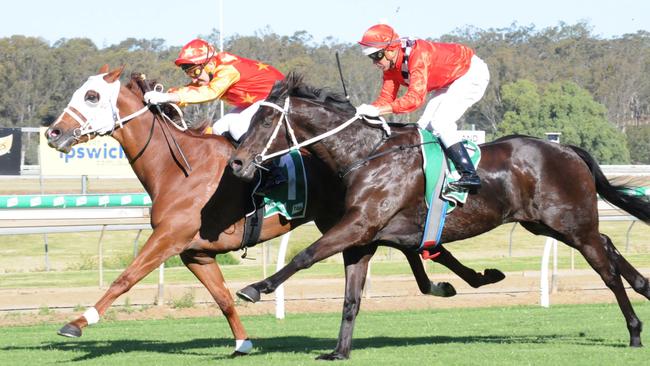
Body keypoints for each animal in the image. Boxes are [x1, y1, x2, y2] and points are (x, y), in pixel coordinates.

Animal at [45, 65, 502, 354]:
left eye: (91, 95)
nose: (53, 133)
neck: (181, 168)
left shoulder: (169, 238)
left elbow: (126, 277)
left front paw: (78, 322)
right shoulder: (195, 252)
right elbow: (223, 298)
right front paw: (243, 341)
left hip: (355, 217)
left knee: (413, 245)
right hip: (354, 218)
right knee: (413, 247)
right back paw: (461, 281)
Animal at [229, 73, 650, 358]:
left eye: (265, 122)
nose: (236, 164)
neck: (366, 155)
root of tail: (566, 150)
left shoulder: (359, 225)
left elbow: (306, 255)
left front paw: (255, 288)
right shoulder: (366, 238)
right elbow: (351, 298)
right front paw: (339, 352)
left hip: (572, 223)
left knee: (607, 271)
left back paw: (634, 330)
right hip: (547, 224)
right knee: (608, 244)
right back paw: (643, 287)